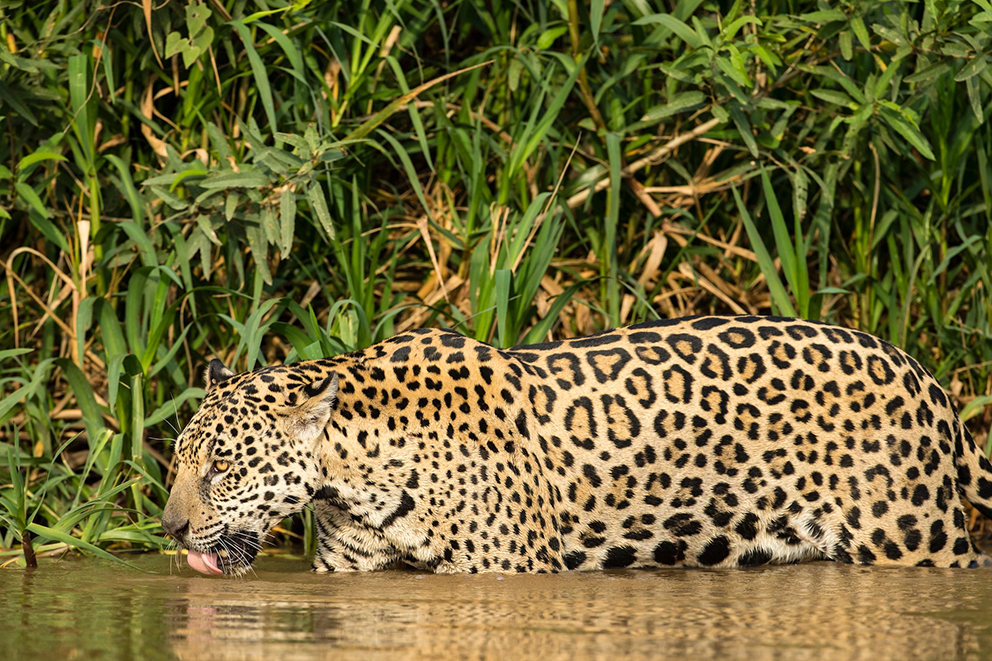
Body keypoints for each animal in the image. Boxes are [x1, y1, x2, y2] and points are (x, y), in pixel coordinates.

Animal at [161, 315, 992, 575]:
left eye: (224, 466)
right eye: (177, 461)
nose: (169, 528)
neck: (352, 474)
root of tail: (927, 374)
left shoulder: (510, 570)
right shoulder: (351, 567)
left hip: (913, 538)